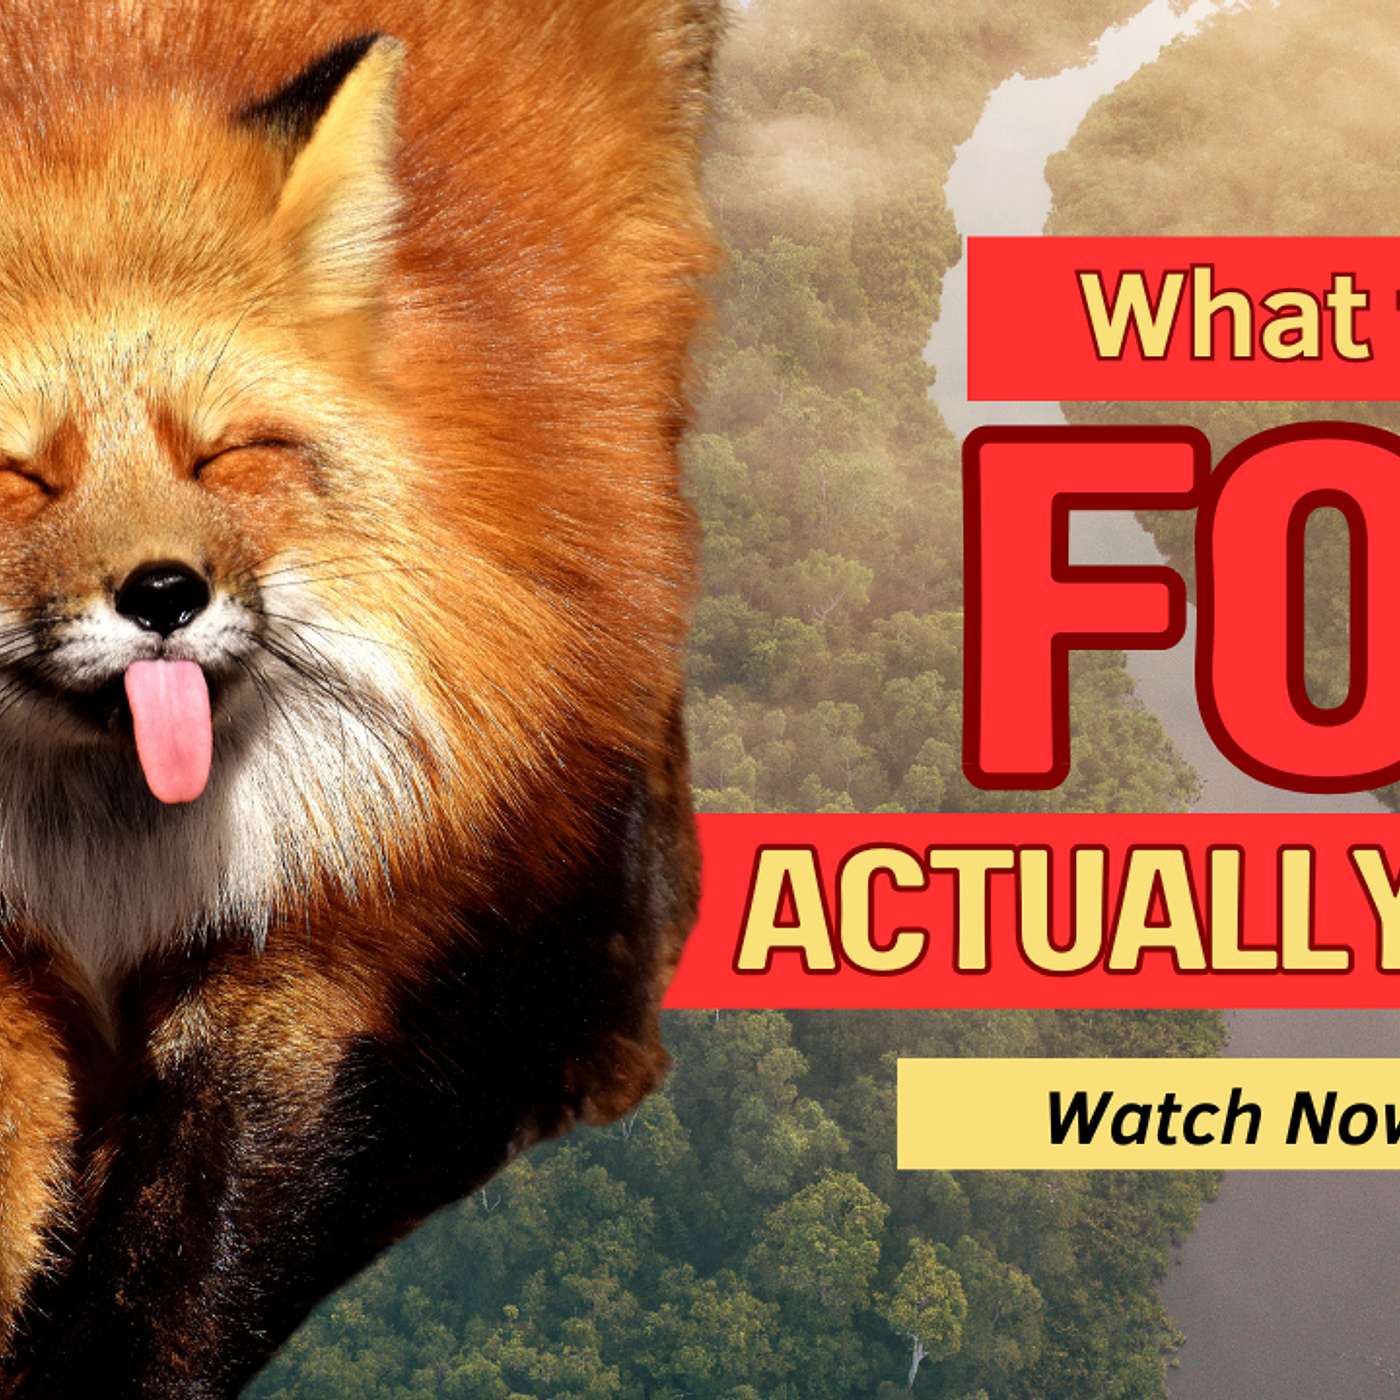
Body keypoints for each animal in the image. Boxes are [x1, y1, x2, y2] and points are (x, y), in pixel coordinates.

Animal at [0, 1, 716, 1394]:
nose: (164, 593)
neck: (104, 871)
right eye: (17, 476)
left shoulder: (308, 941)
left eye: (225, 453)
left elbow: (180, 1274)